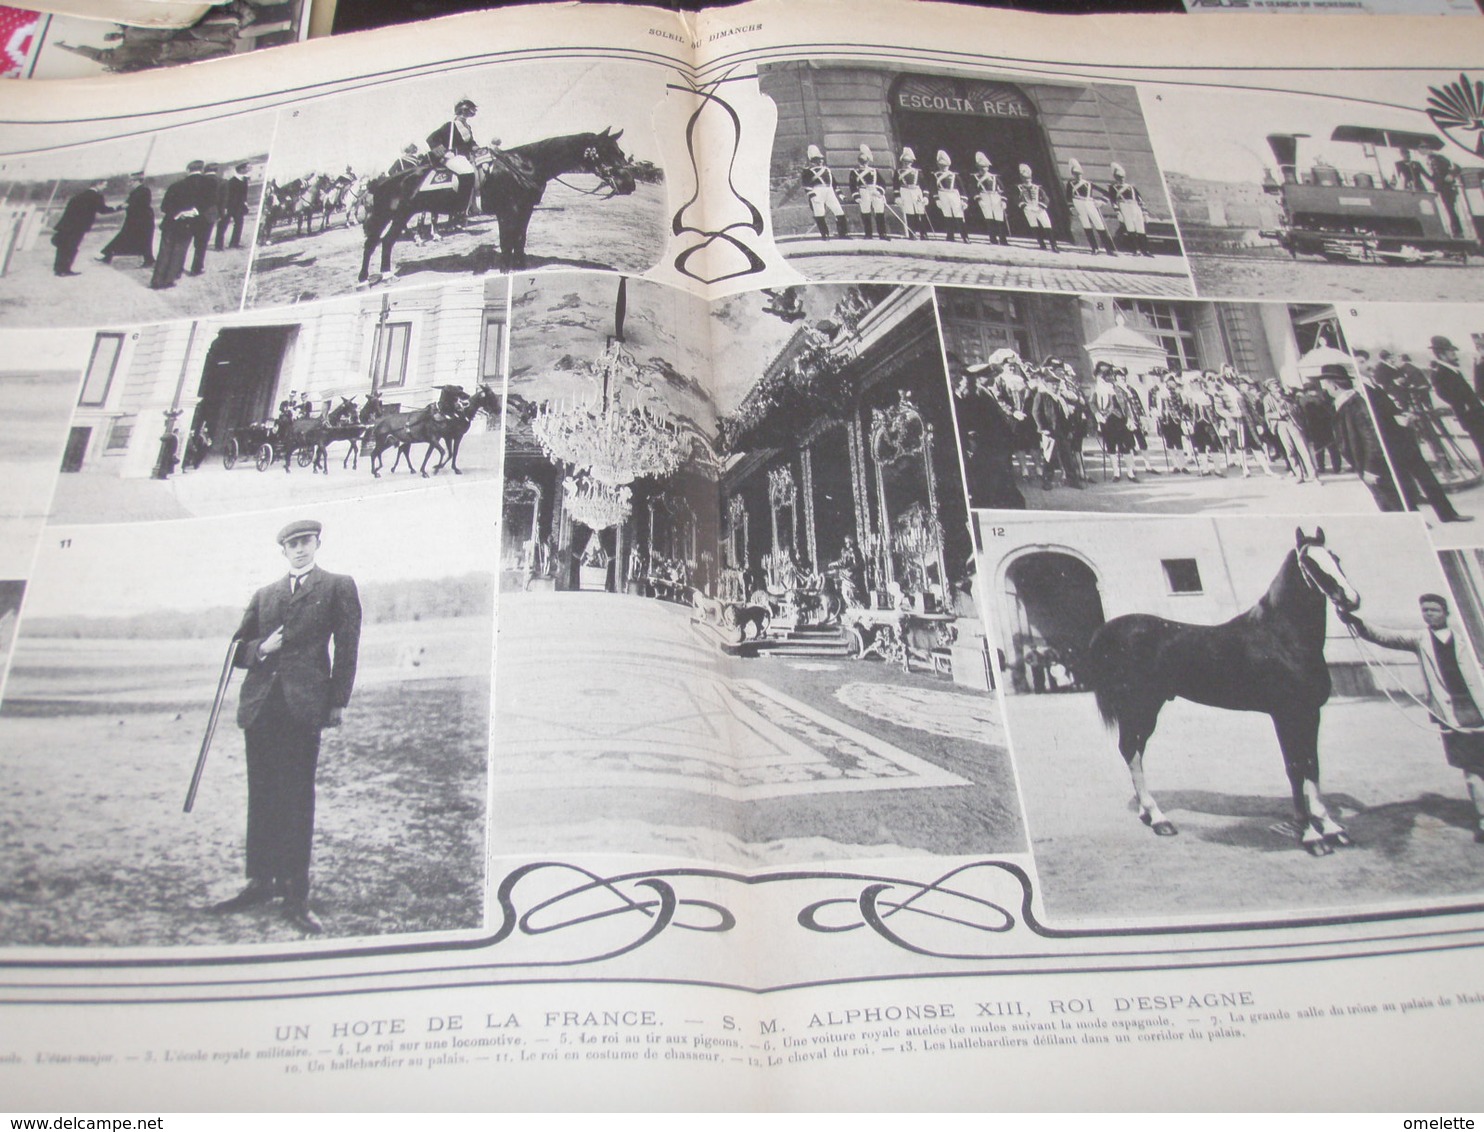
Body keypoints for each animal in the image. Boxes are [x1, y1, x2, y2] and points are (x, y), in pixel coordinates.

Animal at [362, 129, 641, 284]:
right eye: (605, 152)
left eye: (620, 151)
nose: (629, 183)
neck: (523, 165)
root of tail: (382, 181)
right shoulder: (508, 212)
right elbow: (507, 241)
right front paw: (505, 269)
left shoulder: (525, 211)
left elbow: (520, 239)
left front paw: (520, 266)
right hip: (390, 215)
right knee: (373, 243)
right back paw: (365, 279)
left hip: (401, 215)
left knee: (386, 242)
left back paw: (386, 274)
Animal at [1086, 528, 1359, 854]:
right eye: (1310, 564)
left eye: (1336, 558)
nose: (1351, 599)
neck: (1281, 637)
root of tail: (1110, 631)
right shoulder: (1285, 715)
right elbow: (1295, 768)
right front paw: (1311, 836)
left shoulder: (1310, 713)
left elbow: (1312, 766)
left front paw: (1331, 828)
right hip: (1139, 708)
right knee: (1130, 750)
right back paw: (1159, 818)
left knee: (1135, 751)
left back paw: (1146, 813)